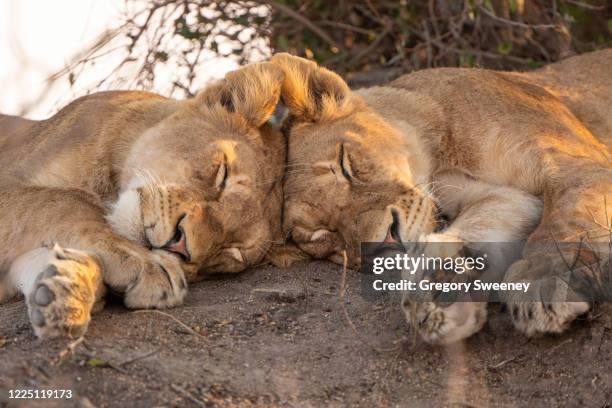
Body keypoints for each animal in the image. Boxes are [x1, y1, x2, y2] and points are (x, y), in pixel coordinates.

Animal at [0, 62, 286, 340]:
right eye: (223, 174)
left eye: (230, 253)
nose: (180, 245)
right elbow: (67, 200)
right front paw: (146, 264)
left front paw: (64, 289)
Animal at [272, 50, 612, 344]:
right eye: (321, 237)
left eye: (345, 166)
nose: (384, 243)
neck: (439, 155)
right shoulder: (507, 197)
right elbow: (481, 225)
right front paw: (439, 284)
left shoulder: (578, 164)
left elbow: (562, 221)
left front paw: (545, 280)